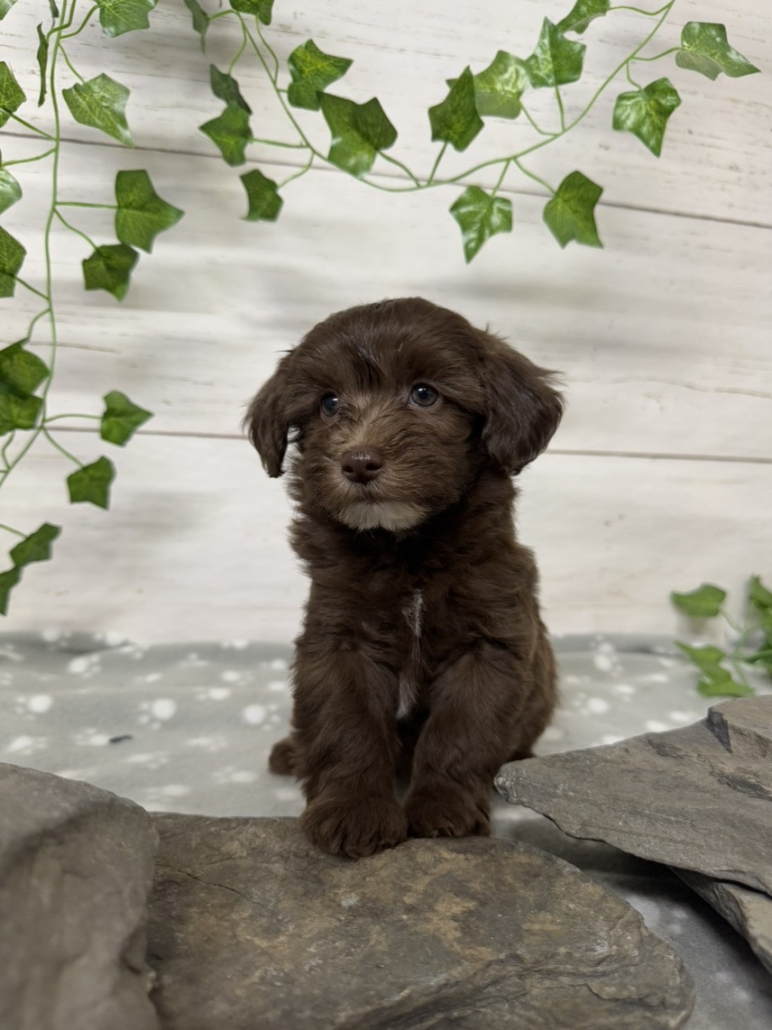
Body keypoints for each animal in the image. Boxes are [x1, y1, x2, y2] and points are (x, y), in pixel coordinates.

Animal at [245, 297, 563, 858]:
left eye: (424, 394)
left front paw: (443, 810)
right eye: (328, 404)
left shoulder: (488, 644)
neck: (406, 550)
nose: (358, 462)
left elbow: (461, 731)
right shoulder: (340, 639)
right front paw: (353, 811)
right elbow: (347, 725)